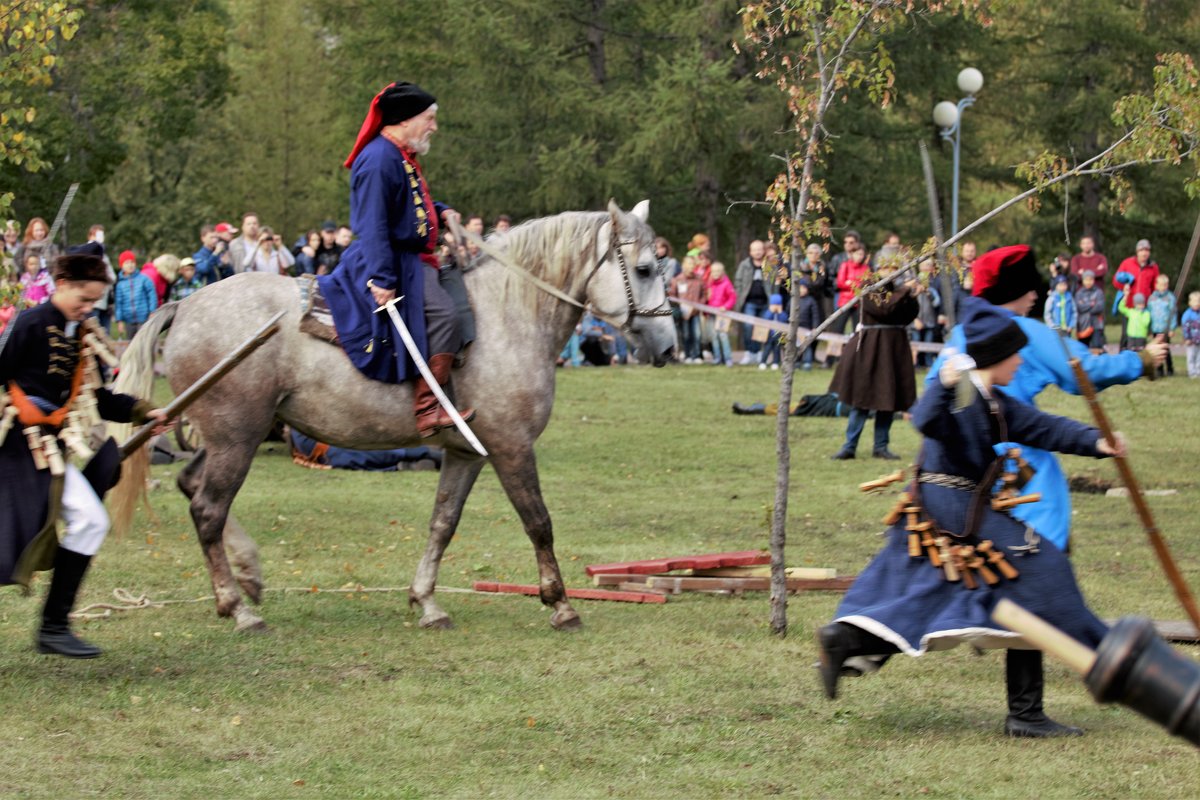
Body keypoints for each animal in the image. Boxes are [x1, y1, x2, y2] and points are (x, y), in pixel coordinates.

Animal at [111, 199, 676, 633]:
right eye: (644, 270)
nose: (668, 346)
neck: (508, 315)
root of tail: (184, 306)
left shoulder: (466, 452)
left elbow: (443, 523)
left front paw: (426, 601)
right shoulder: (511, 446)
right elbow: (538, 521)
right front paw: (559, 603)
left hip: (225, 436)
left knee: (192, 486)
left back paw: (247, 576)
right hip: (236, 438)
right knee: (208, 508)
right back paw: (238, 607)